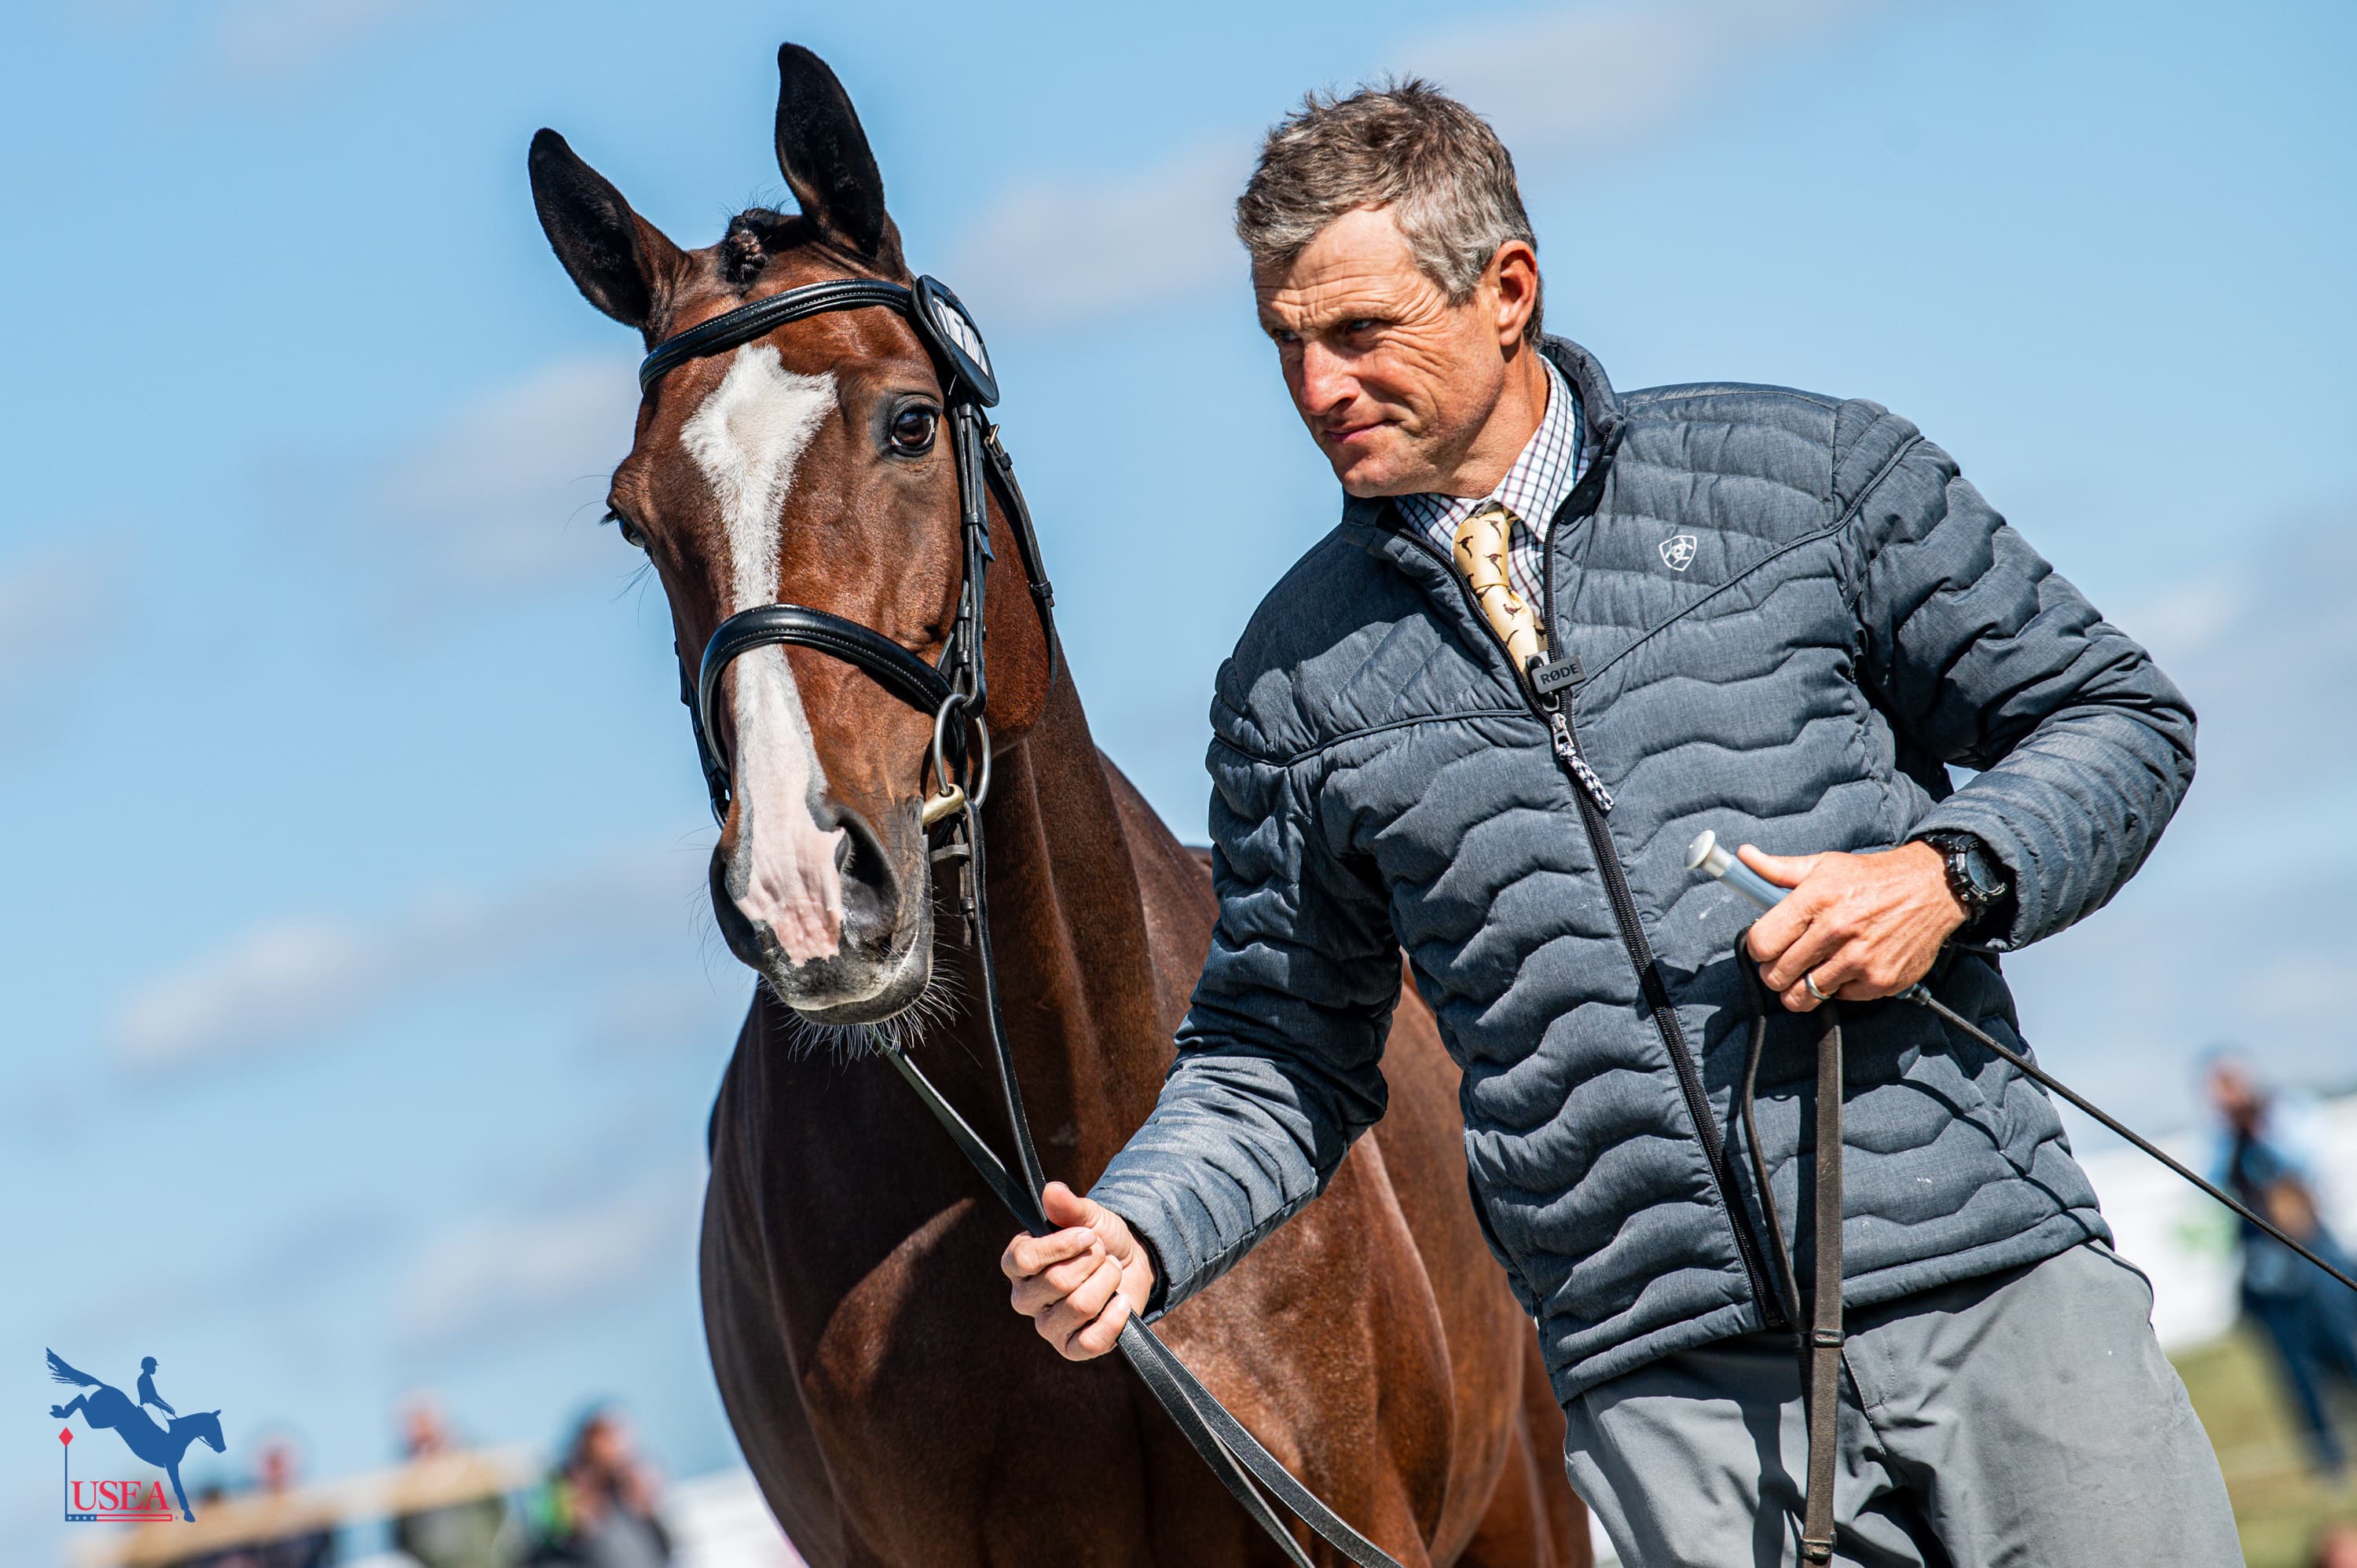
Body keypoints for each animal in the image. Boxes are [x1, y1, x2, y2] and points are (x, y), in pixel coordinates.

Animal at [48, 1350, 224, 1523]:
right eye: (214, 1429)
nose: (223, 1448)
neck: (179, 1435)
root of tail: (105, 1387)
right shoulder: (171, 1463)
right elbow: (178, 1488)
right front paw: (189, 1515)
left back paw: (58, 1411)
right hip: (100, 1420)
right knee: (81, 1399)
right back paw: (60, 1412)